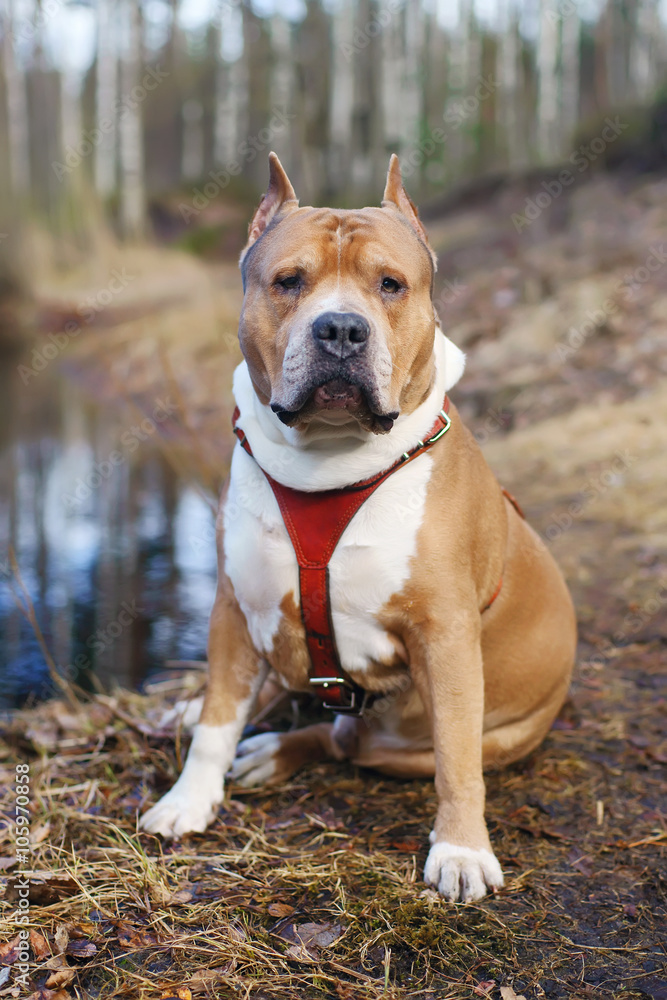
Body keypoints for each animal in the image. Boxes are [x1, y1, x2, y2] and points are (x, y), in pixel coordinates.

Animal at [142, 152, 580, 904]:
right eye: (289, 281)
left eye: (390, 285)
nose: (342, 329)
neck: (326, 462)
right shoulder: (235, 606)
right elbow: (219, 720)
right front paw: (188, 799)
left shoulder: (446, 636)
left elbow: (456, 758)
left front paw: (461, 850)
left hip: (422, 739)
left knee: (350, 739)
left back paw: (279, 749)